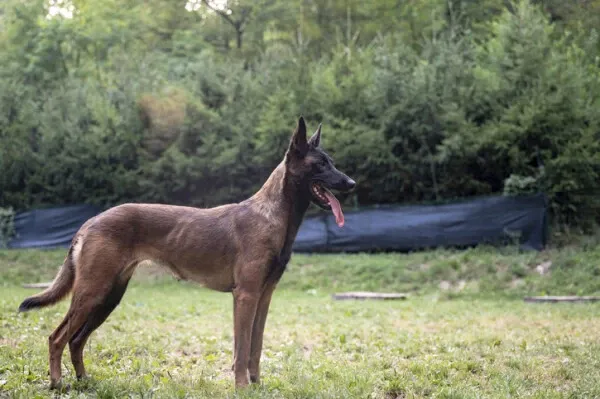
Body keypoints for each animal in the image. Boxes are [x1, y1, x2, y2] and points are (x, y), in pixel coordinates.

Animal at [18, 116, 356, 390]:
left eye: (331, 161)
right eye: (320, 165)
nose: (351, 183)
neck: (272, 216)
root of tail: (90, 221)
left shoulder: (264, 297)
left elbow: (255, 347)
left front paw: (257, 385)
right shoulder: (245, 296)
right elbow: (242, 349)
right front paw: (242, 387)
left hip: (108, 297)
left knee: (76, 340)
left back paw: (84, 381)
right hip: (92, 293)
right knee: (57, 337)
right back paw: (57, 383)